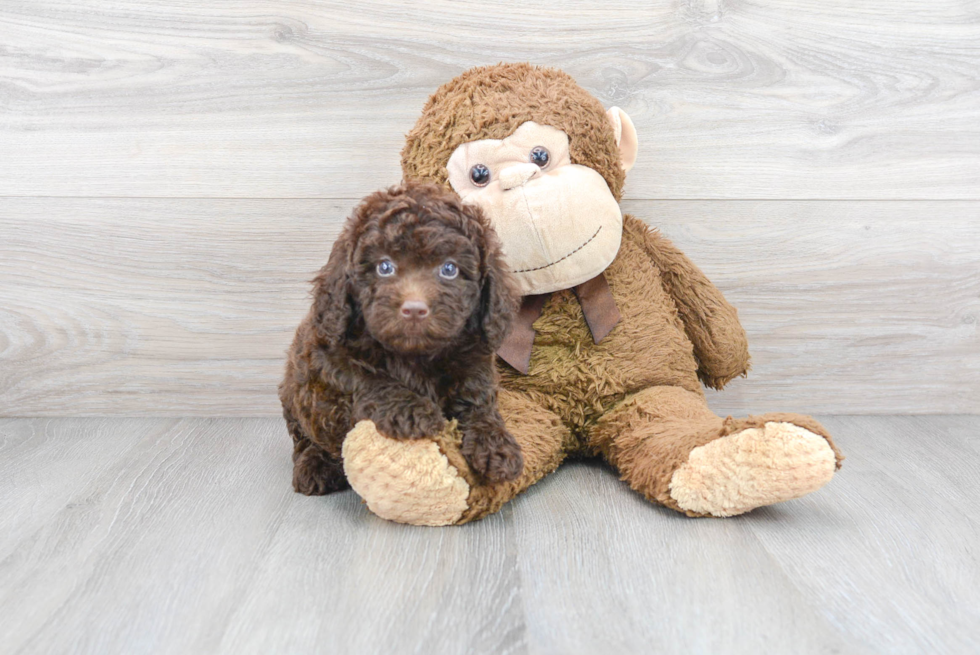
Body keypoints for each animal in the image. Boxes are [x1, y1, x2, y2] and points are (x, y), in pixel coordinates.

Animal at [278, 182, 520, 494]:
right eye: (384, 267)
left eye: (449, 269)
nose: (414, 309)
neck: (414, 354)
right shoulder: (323, 353)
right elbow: (367, 377)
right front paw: (412, 410)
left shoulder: (475, 359)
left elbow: (478, 401)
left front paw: (495, 444)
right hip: (292, 396)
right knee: (304, 438)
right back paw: (314, 465)